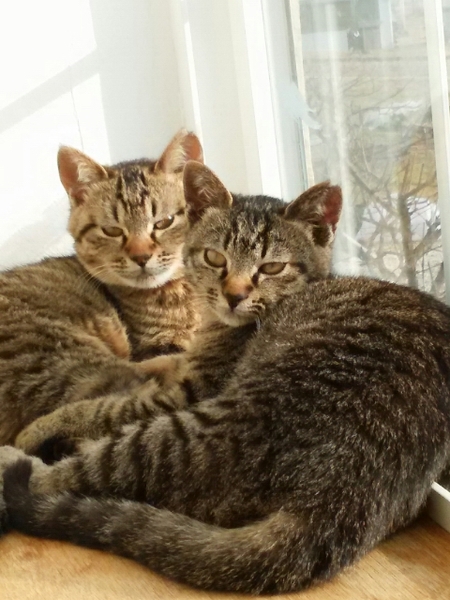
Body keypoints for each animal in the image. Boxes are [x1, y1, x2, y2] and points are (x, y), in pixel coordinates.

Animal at [3, 162, 450, 595]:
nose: (234, 295)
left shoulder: (182, 395)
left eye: (271, 267)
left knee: (70, 477)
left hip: (186, 433)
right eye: (215, 258)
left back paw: (18, 459)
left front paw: (38, 427)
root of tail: (338, 502)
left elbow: (99, 406)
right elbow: (155, 365)